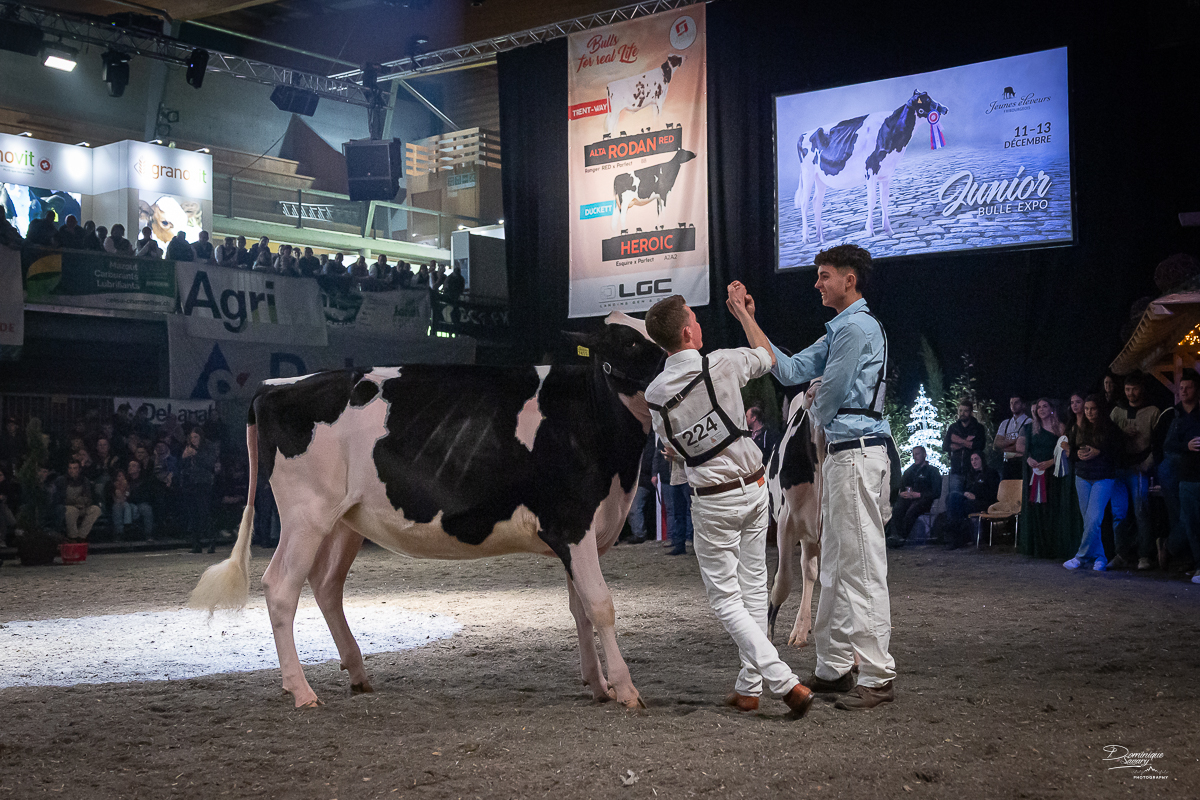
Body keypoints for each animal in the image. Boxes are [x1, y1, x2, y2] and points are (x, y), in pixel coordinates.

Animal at [189, 312, 665, 710]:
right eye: (628, 342)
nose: (675, 361)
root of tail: (277, 384)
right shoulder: (572, 524)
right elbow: (600, 605)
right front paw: (626, 689)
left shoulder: (576, 534)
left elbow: (580, 608)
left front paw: (599, 685)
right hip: (306, 514)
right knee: (281, 587)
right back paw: (302, 691)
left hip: (344, 521)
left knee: (325, 585)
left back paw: (357, 673)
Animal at [793, 91, 948, 245]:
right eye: (926, 100)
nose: (945, 109)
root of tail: (803, 134)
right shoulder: (870, 170)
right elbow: (872, 200)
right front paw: (870, 230)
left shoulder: (886, 174)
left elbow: (884, 200)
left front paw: (889, 230)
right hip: (808, 173)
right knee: (805, 203)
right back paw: (806, 238)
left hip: (820, 178)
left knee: (816, 202)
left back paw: (821, 237)